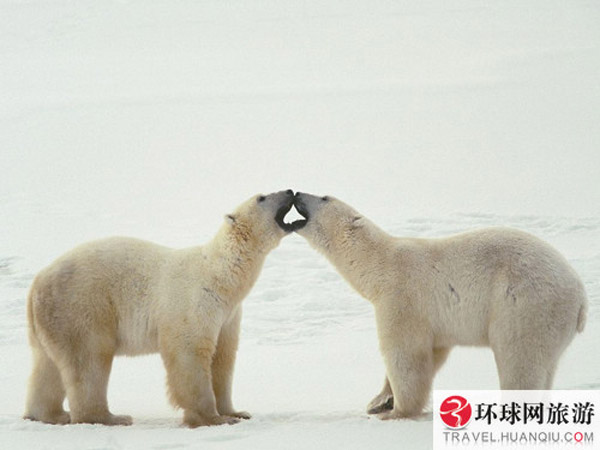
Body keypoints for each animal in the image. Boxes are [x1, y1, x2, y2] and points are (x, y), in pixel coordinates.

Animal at [25, 189, 298, 426]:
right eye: (262, 197)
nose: (289, 191)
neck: (220, 276)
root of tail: (37, 282)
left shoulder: (228, 315)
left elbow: (223, 357)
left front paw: (236, 412)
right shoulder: (194, 302)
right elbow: (190, 353)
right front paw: (213, 418)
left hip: (52, 319)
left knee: (47, 366)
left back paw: (49, 414)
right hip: (81, 306)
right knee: (89, 360)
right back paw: (110, 417)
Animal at [292, 192, 588, 420]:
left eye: (323, 197)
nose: (296, 194)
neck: (380, 264)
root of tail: (581, 294)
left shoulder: (402, 298)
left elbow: (406, 356)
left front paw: (396, 411)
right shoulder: (436, 321)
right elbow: (433, 353)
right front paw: (379, 400)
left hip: (525, 305)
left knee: (520, 359)